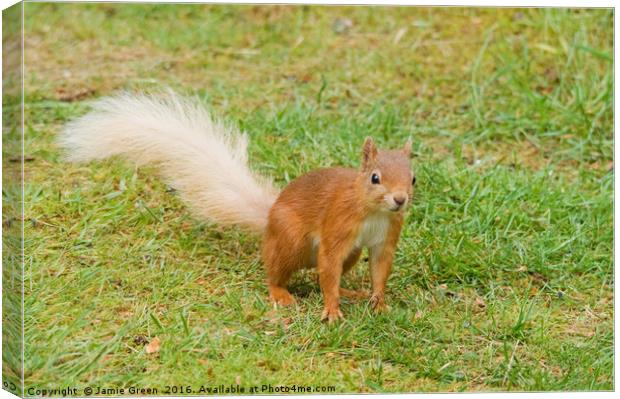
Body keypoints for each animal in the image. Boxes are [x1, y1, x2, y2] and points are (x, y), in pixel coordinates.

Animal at [60, 91, 414, 322]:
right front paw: (331, 309)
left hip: (351, 252)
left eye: (413, 178)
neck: (375, 212)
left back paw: (351, 292)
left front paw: (379, 302)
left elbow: (379, 268)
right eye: (375, 177)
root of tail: (269, 217)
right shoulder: (337, 226)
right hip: (292, 240)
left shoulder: (385, 236)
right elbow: (329, 264)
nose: (400, 200)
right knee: (284, 272)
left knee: (320, 274)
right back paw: (281, 293)